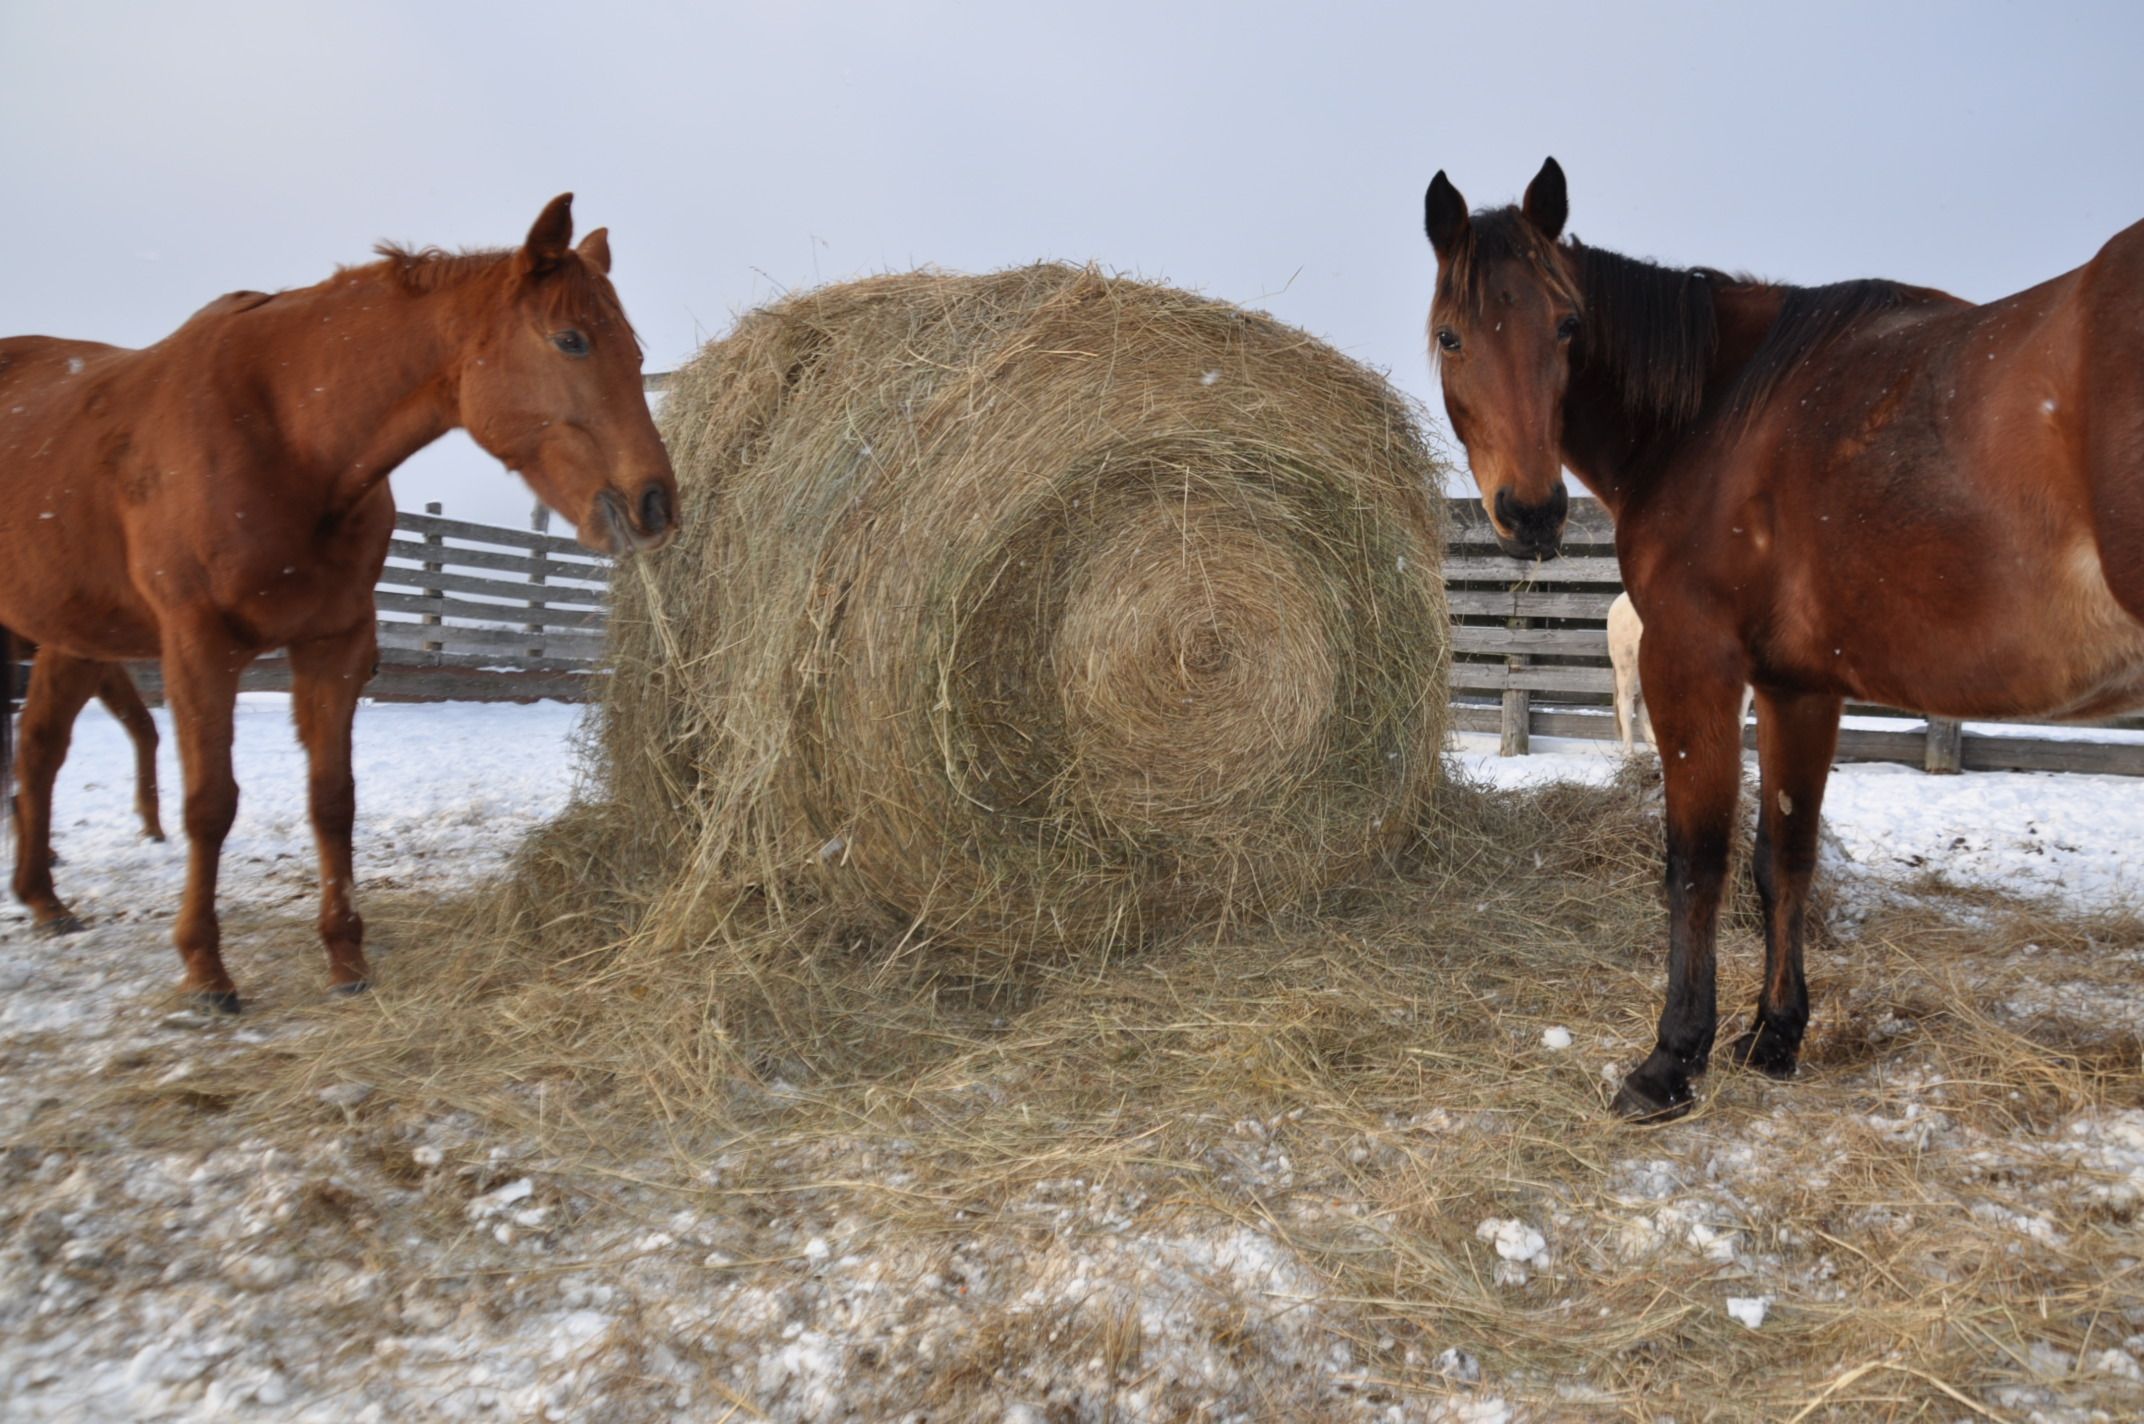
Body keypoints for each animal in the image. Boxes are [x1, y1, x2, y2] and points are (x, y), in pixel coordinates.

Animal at [0, 194, 677, 1011]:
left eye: (635, 355)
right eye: (571, 340)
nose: (656, 504)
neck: (284, 431)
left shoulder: (335, 643)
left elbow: (333, 798)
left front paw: (346, 957)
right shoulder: (198, 648)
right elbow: (210, 804)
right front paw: (206, 969)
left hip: (72, 638)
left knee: (39, 751)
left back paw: (44, 901)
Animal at [1424, 157, 2144, 1120]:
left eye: (1568, 324)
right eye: (1454, 336)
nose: (1532, 512)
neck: (1720, 412)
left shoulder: (1691, 663)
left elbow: (1697, 862)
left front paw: (1671, 1059)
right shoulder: (1799, 687)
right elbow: (1785, 859)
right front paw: (1774, 1035)